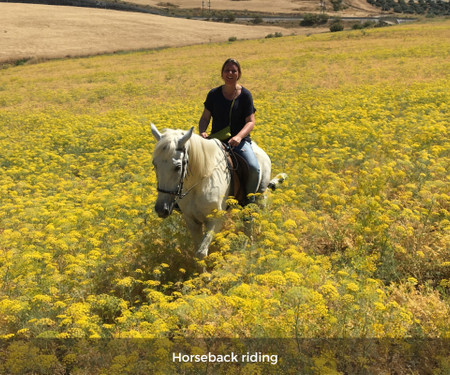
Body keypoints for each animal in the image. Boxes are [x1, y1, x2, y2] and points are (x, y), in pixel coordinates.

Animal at [151, 125, 284, 260]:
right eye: (154, 164)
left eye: (178, 167)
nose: (161, 209)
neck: (199, 183)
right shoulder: (191, 220)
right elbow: (197, 250)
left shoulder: (215, 220)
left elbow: (201, 252)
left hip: (258, 197)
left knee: (253, 219)